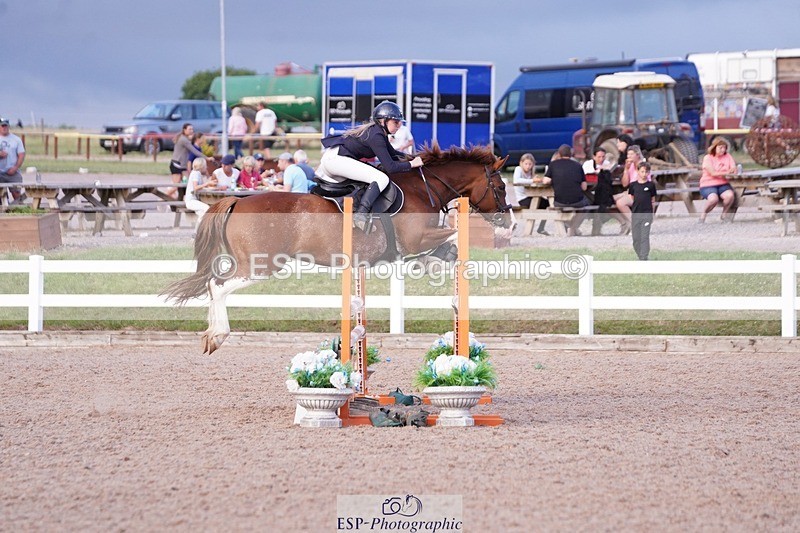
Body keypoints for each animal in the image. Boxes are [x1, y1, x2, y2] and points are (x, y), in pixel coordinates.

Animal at [163, 144, 511, 354]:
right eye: (501, 186)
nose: (506, 220)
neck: (424, 187)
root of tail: (236, 200)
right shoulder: (416, 238)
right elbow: (451, 236)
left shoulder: (417, 242)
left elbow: (443, 248)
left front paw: (437, 264)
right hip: (261, 265)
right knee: (218, 286)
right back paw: (217, 335)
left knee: (213, 284)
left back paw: (210, 335)